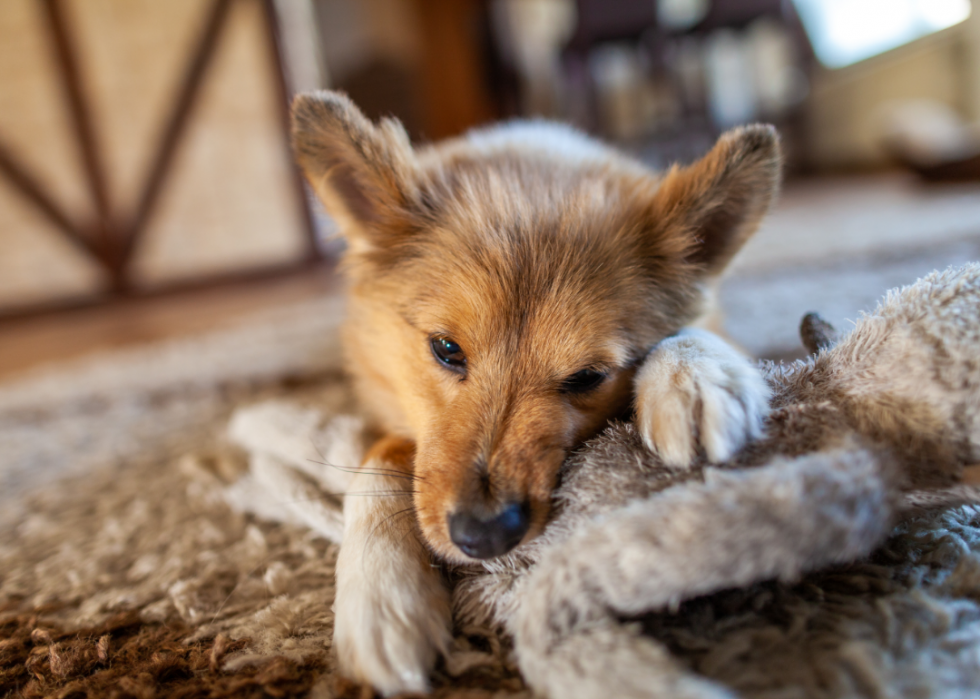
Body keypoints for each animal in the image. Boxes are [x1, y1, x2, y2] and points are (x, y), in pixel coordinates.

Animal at [290, 91, 780, 696]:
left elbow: (697, 332)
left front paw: (696, 376)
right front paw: (380, 595)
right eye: (446, 349)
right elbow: (380, 456)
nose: (482, 537)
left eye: (587, 377)